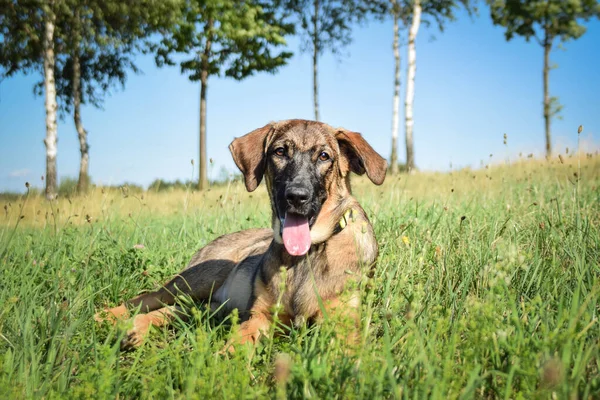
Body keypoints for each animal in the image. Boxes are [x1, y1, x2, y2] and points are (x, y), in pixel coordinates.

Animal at [94, 120, 384, 352]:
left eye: (324, 156)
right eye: (280, 152)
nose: (296, 196)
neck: (306, 256)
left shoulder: (341, 319)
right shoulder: (260, 316)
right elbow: (237, 343)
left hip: (209, 305)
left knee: (175, 311)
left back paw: (136, 327)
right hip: (195, 281)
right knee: (146, 298)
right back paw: (108, 317)